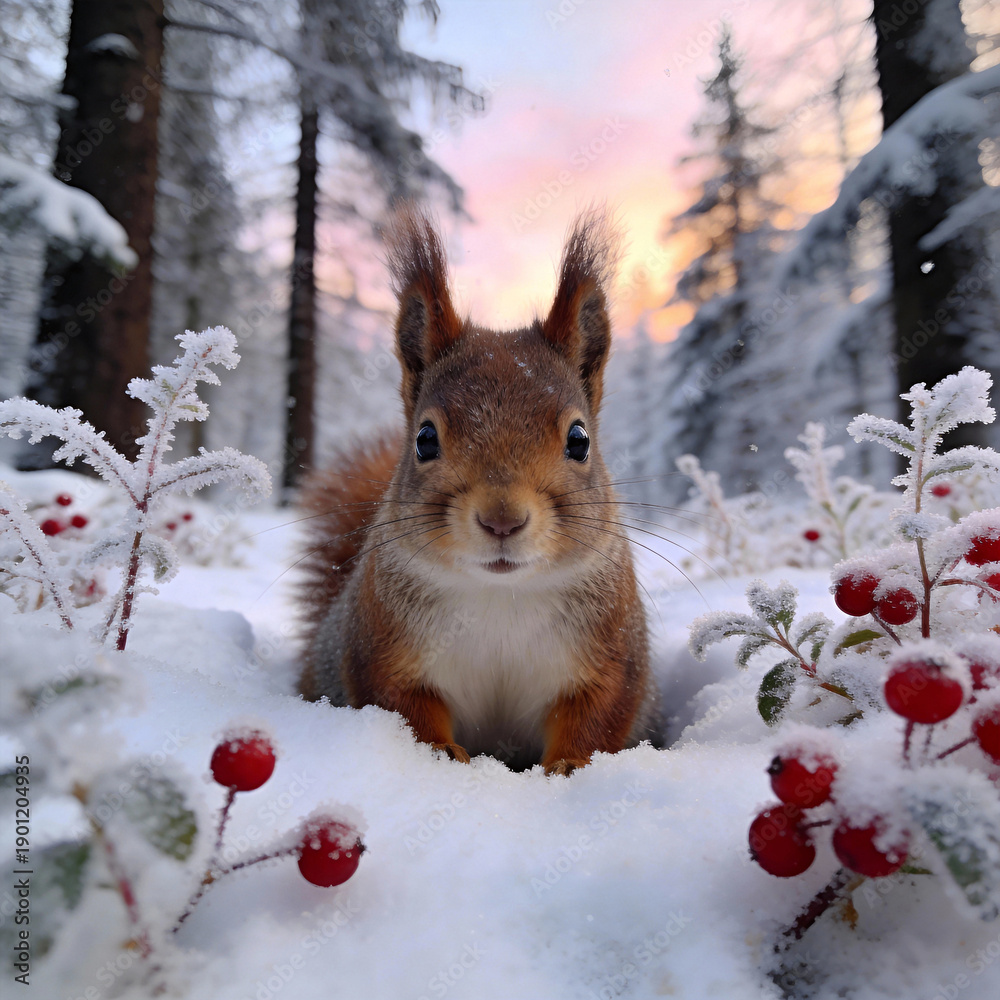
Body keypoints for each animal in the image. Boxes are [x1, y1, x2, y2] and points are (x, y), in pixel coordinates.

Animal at [296, 206, 658, 775]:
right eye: (424, 439)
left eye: (580, 440)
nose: (501, 519)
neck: (499, 596)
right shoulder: (380, 648)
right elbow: (400, 705)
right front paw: (440, 752)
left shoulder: (613, 655)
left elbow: (599, 715)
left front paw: (570, 764)